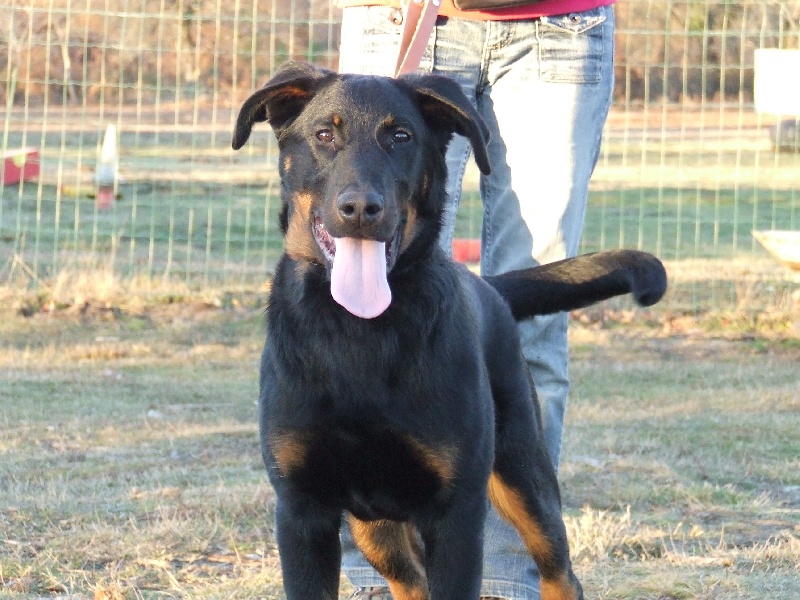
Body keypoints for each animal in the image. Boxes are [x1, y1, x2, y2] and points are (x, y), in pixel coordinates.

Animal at [233, 62, 668, 600]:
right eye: (323, 135)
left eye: (401, 136)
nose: (361, 208)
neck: (360, 331)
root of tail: (486, 286)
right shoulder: (301, 510)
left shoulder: (456, 512)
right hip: (373, 528)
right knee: (410, 581)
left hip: (523, 474)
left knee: (560, 572)